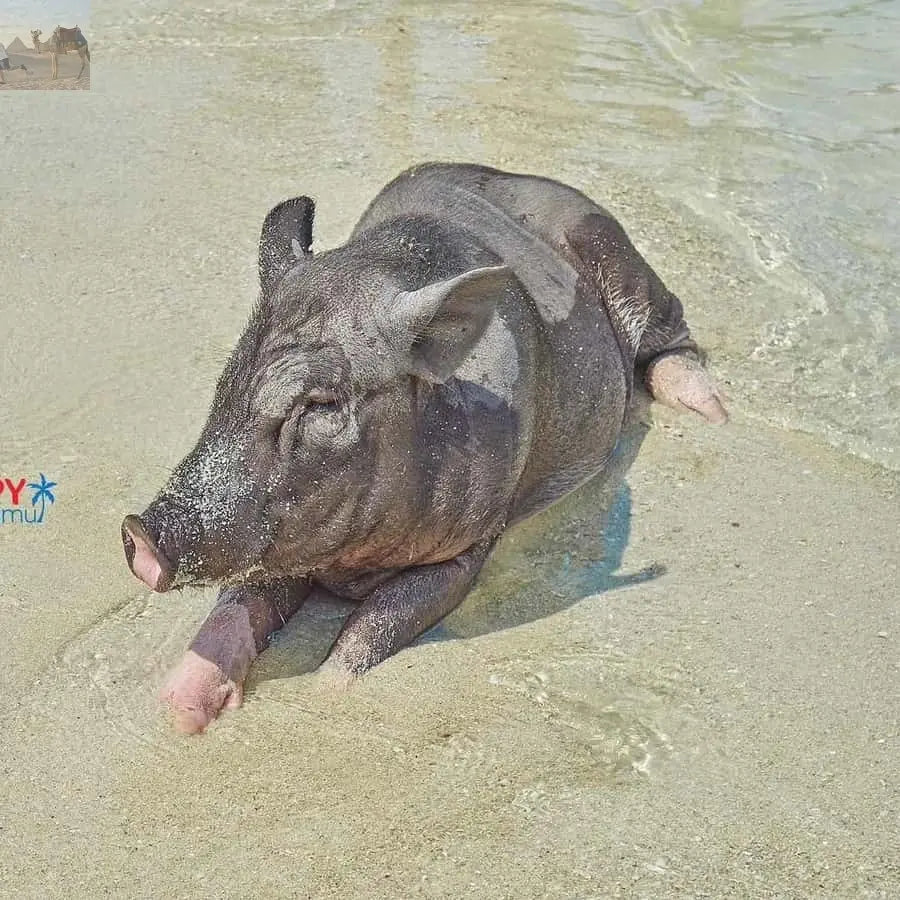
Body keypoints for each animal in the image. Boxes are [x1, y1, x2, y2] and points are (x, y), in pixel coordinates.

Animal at [122, 163, 727, 733]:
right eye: (228, 383)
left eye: (319, 403)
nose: (139, 531)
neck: (350, 559)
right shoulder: (277, 537)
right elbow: (236, 604)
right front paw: (180, 714)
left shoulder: (466, 547)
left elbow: (369, 633)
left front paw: (322, 697)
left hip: (618, 255)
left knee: (670, 335)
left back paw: (714, 411)